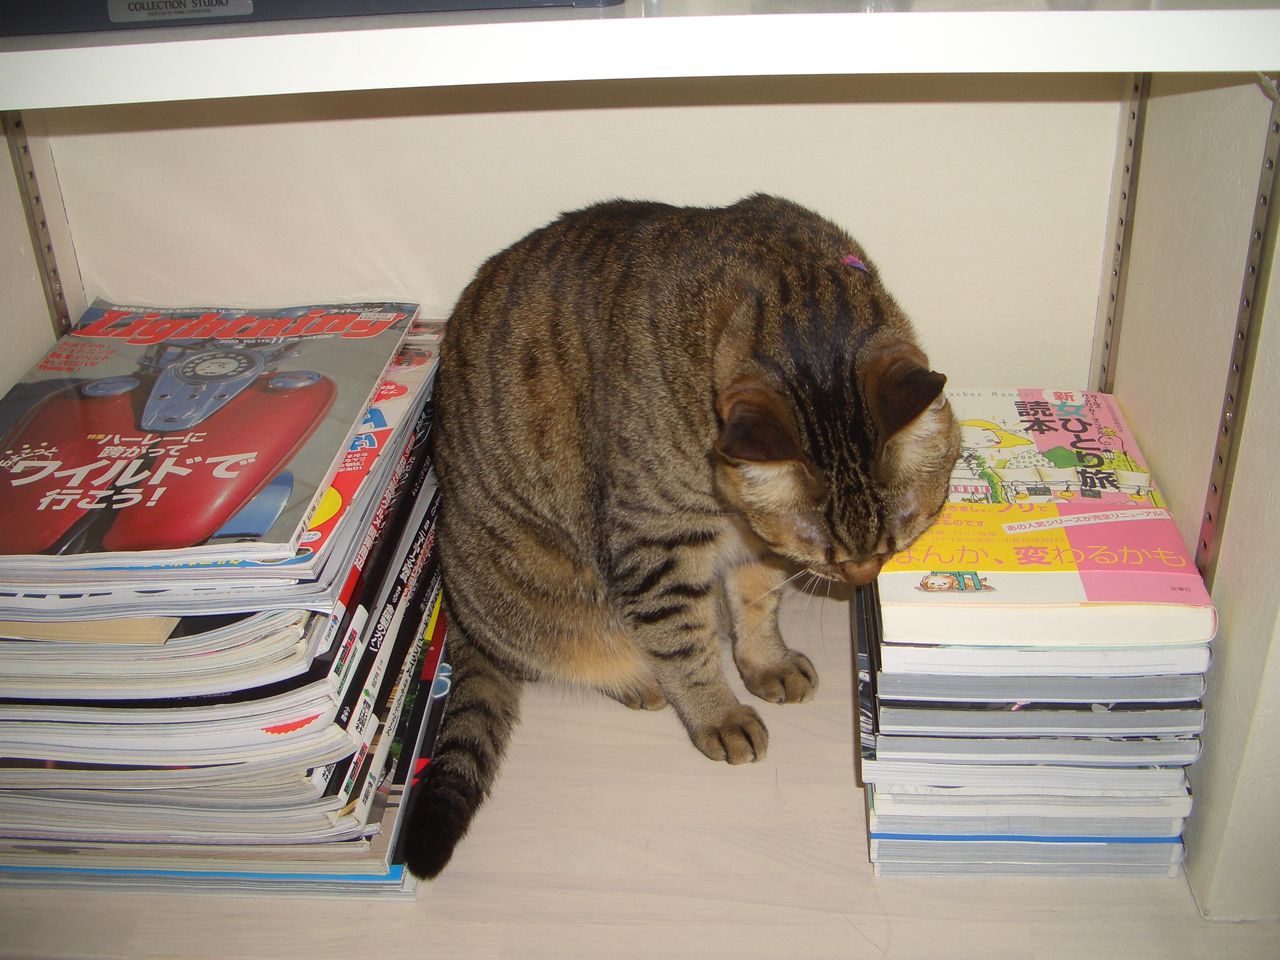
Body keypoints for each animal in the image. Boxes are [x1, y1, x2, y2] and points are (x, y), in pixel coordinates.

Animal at [402, 194, 960, 879]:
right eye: (823, 549)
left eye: (901, 532)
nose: (862, 577)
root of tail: (455, 615)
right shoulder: (654, 544)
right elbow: (683, 643)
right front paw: (719, 714)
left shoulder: (757, 544)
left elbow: (757, 608)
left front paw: (765, 662)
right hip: (535, 592)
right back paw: (639, 679)